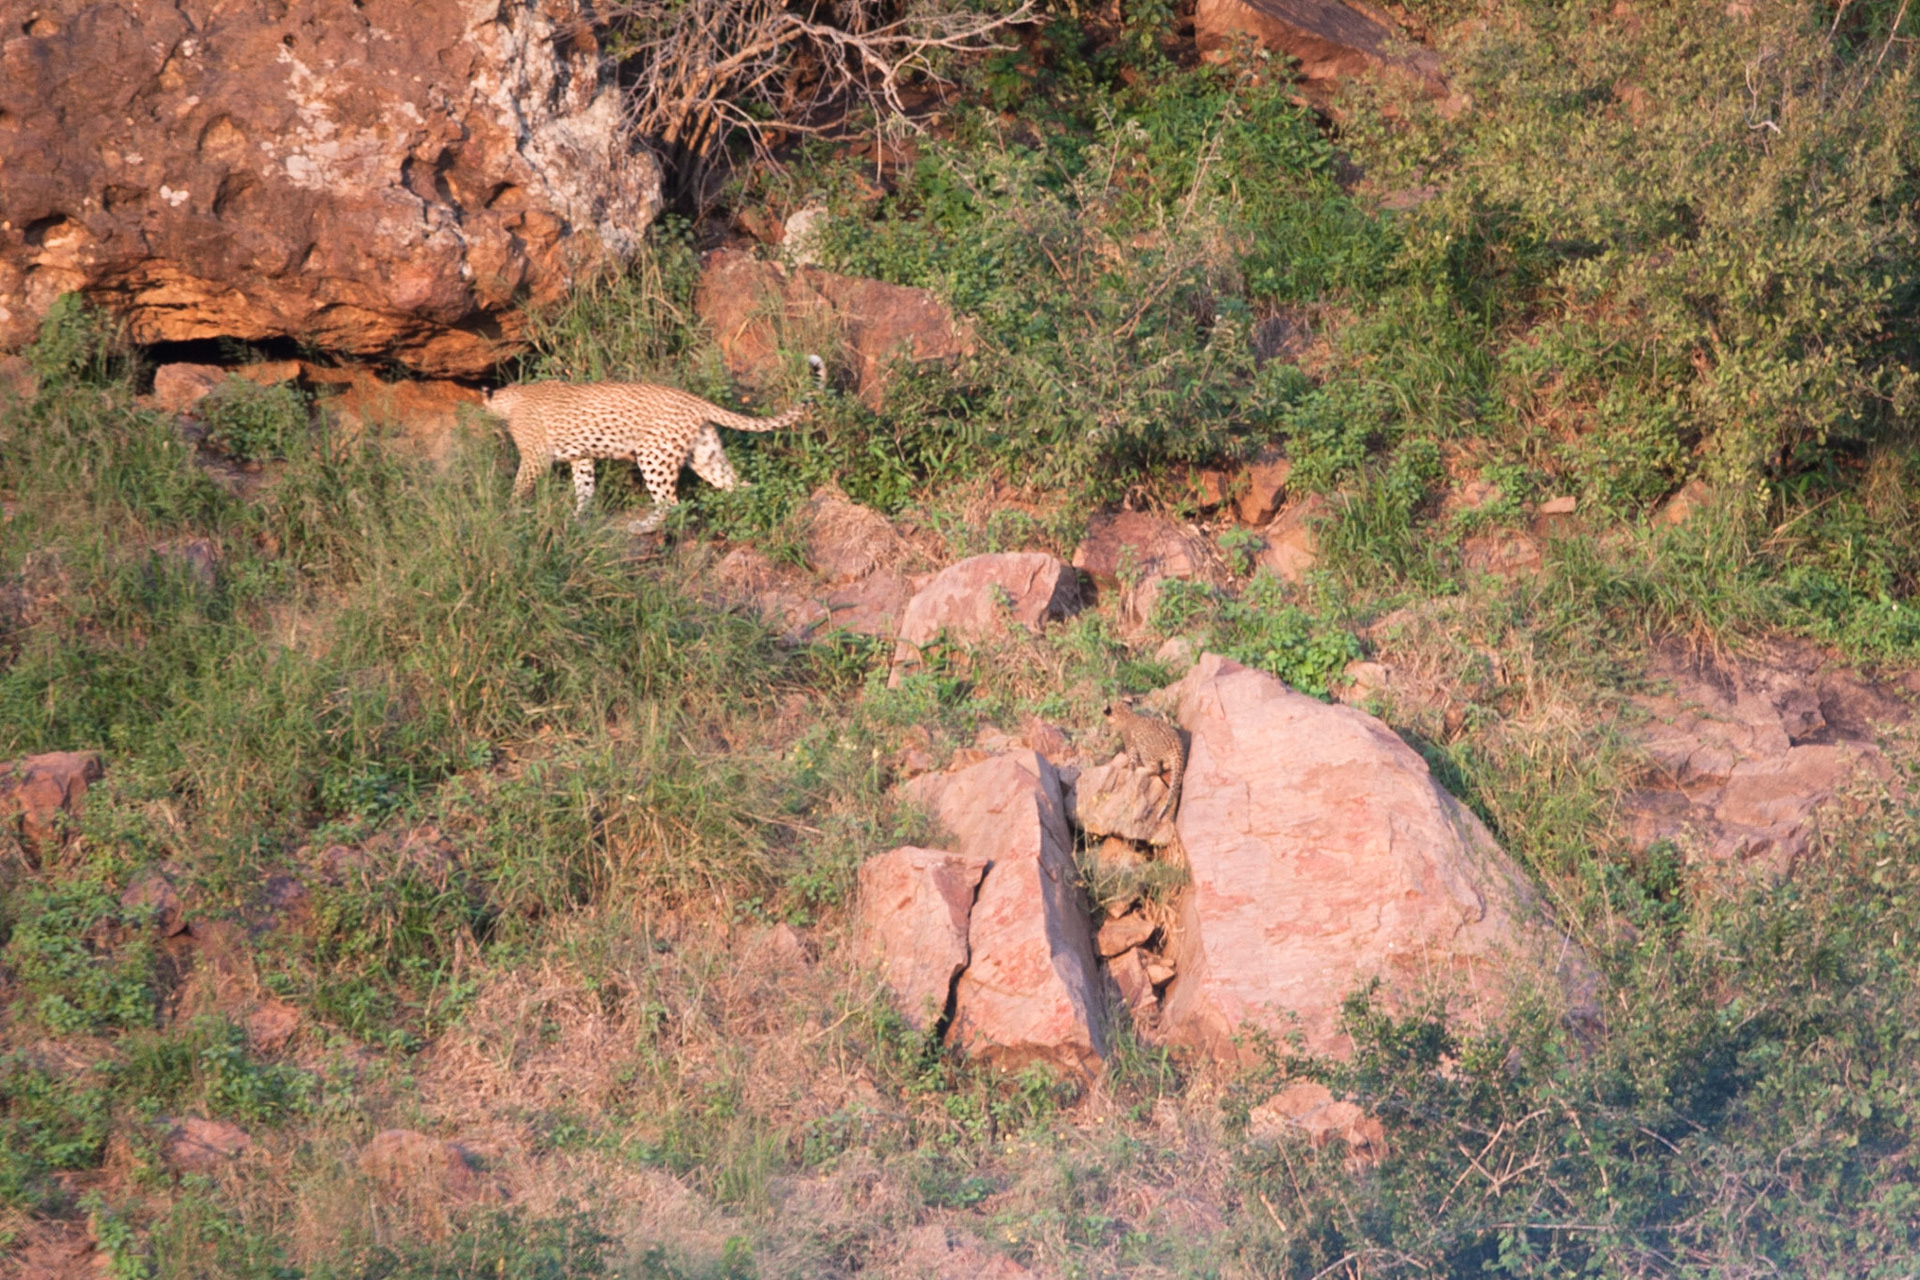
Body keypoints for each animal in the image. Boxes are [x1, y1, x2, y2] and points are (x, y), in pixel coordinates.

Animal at [486, 355, 826, 532]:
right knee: (738, 485)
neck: (509, 398)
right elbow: (585, 488)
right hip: (706, 454)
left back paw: (642, 526)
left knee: (670, 503)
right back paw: (751, 511)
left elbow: (520, 485)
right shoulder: (581, 458)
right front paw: (579, 516)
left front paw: (509, 511)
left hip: (654, 456)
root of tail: (695, 401)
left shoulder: (536, 457)